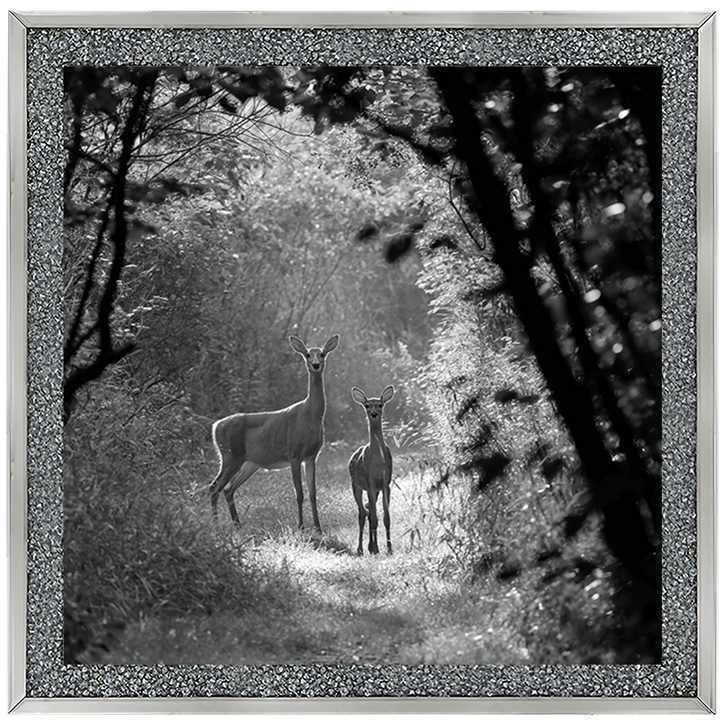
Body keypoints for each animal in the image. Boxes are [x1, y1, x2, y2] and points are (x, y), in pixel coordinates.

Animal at [209, 334, 339, 533]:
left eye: (323, 354)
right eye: (308, 354)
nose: (316, 365)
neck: (311, 416)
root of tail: (215, 426)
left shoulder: (311, 456)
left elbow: (312, 493)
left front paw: (318, 528)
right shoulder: (294, 453)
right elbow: (299, 493)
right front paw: (301, 526)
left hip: (249, 463)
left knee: (228, 488)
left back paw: (237, 525)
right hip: (230, 456)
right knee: (214, 486)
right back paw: (216, 525)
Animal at [348, 385, 395, 556]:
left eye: (380, 404)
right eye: (367, 405)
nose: (373, 414)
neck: (378, 461)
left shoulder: (385, 483)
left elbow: (386, 518)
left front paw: (389, 548)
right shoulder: (370, 483)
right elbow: (374, 517)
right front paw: (376, 548)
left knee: (368, 512)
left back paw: (370, 546)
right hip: (355, 485)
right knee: (363, 513)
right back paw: (361, 549)